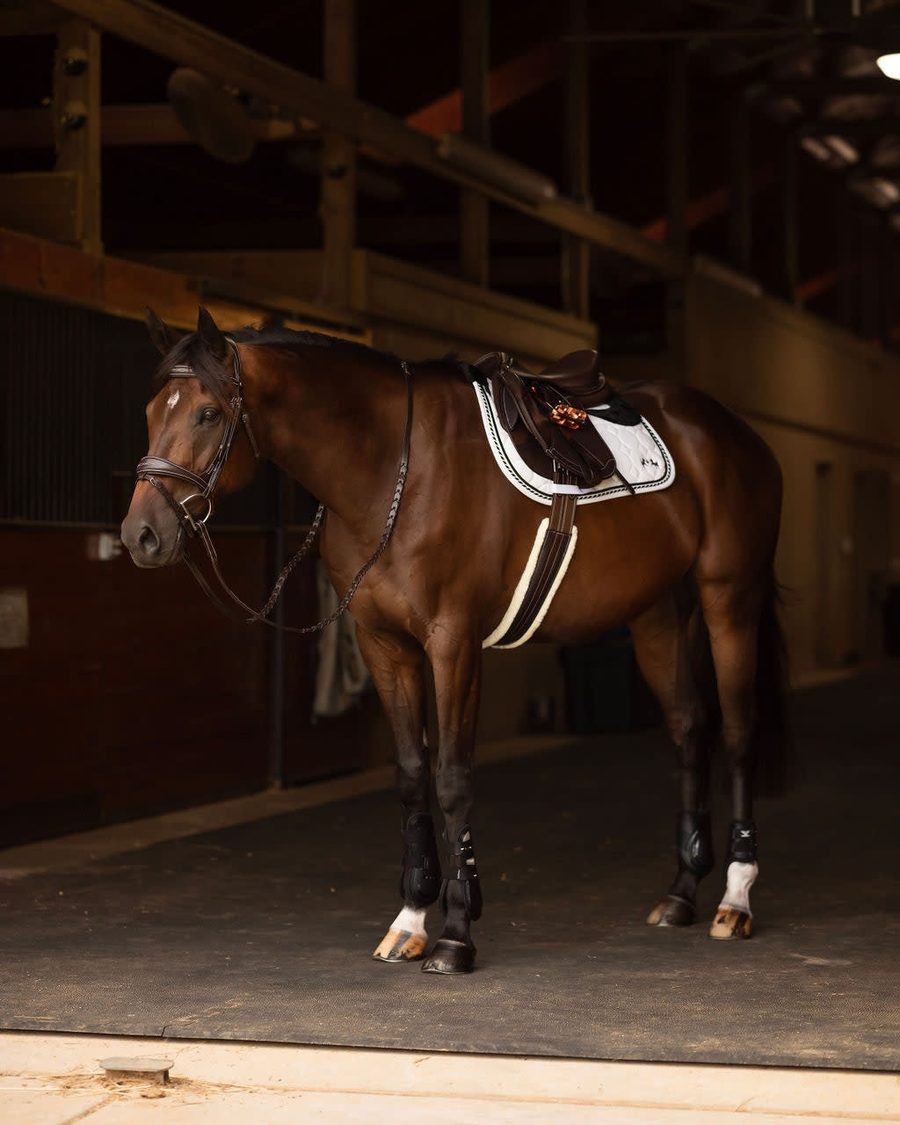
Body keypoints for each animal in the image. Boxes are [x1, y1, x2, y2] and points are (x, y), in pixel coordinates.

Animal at [121, 306, 788, 975]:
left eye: (208, 413)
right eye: (151, 412)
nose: (140, 535)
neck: (394, 469)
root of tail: (734, 432)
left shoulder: (454, 643)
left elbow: (452, 778)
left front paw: (456, 934)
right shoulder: (384, 645)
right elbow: (412, 775)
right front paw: (411, 920)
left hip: (729, 598)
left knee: (737, 732)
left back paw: (735, 900)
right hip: (657, 616)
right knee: (689, 729)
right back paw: (681, 893)